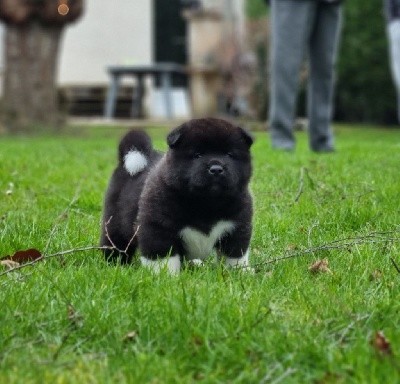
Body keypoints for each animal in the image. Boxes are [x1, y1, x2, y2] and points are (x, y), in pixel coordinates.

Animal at [101, 118, 255, 272]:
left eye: (229, 155)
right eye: (197, 155)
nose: (216, 169)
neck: (206, 203)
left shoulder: (237, 228)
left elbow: (235, 256)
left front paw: (240, 272)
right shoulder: (158, 228)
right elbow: (163, 258)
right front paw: (165, 275)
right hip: (115, 223)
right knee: (115, 243)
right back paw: (114, 264)